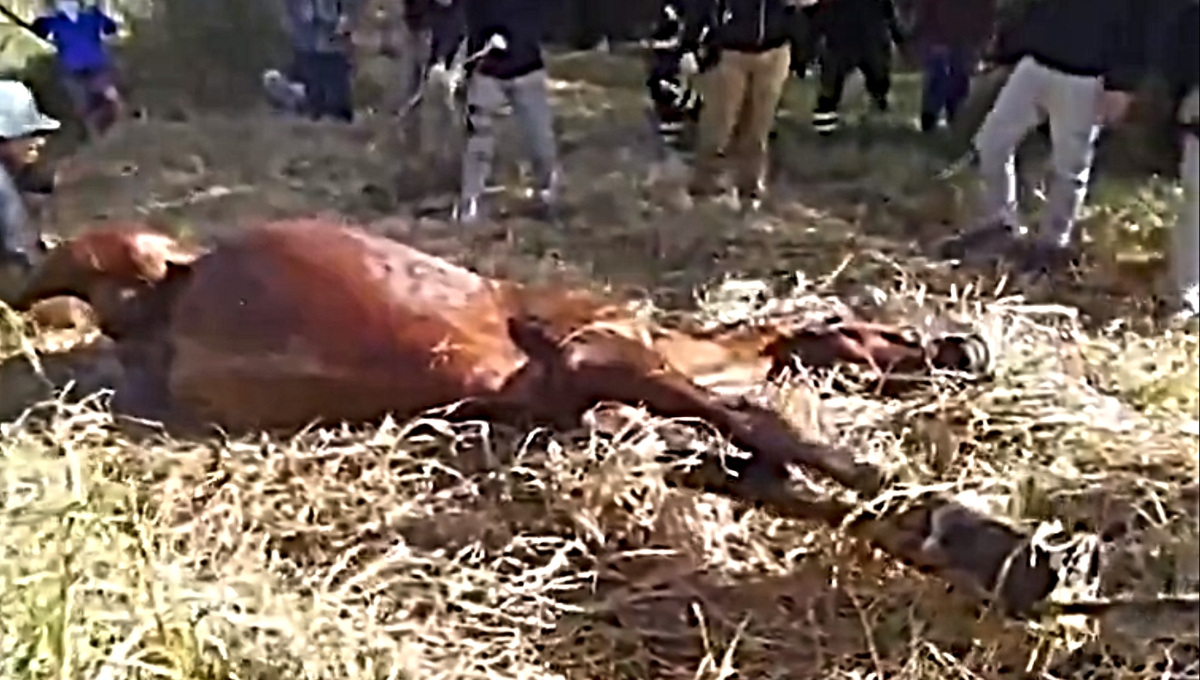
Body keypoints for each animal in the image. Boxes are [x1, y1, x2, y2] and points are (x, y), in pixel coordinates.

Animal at [7, 218, 1080, 618]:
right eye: (877, 324)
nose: (967, 350)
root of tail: (157, 303)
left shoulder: (610, 411)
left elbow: (763, 461)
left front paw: (985, 552)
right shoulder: (600, 359)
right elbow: (771, 431)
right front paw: (1002, 543)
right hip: (114, 249)